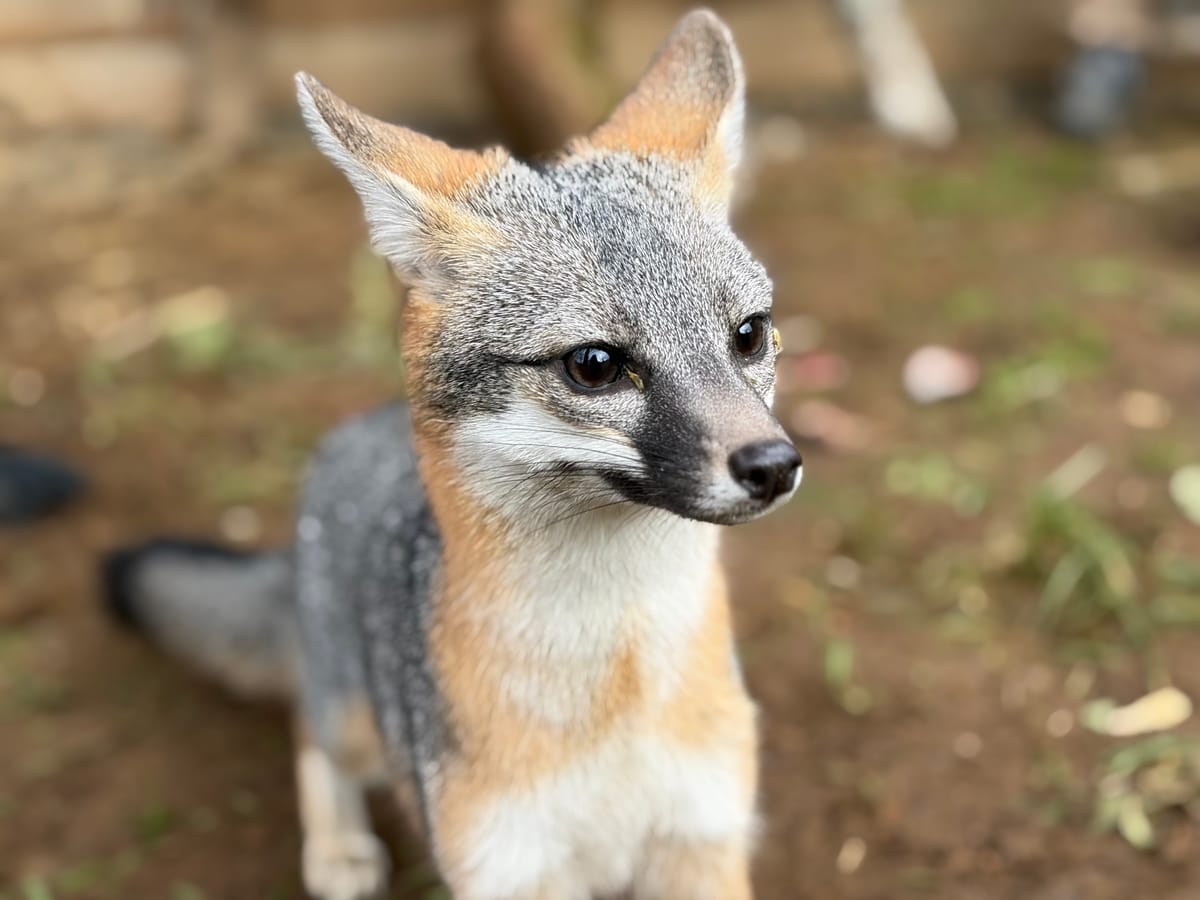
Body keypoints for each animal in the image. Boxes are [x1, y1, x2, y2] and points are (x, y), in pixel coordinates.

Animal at [102, 10, 802, 900]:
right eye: (596, 364)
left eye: (747, 334)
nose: (773, 464)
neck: (615, 694)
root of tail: (356, 433)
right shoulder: (509, 869)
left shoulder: (703, 838)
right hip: (355, 717)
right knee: (308, 725)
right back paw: (338, 846)